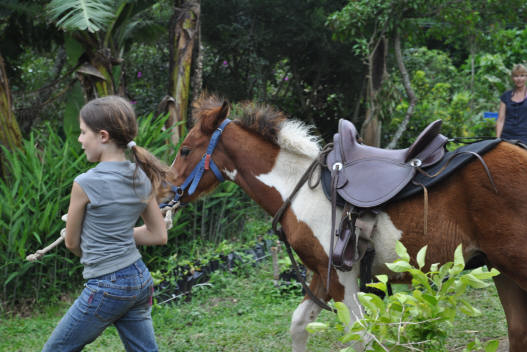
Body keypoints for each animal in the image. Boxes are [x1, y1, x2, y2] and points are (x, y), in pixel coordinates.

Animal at [167, 94, 527, 352]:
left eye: (185, 150)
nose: (166, 191)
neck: (298, 187)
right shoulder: (320, 275)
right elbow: (299, 324)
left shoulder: (343, 278)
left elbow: (361, 336)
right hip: (501, 270)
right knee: (517, 331)